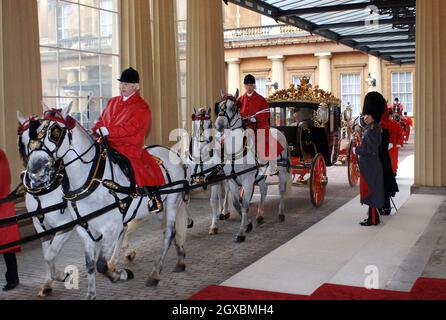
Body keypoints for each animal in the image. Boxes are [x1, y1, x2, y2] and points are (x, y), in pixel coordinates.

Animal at [24, 105, 188, 300]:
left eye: (55, 132)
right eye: (34, 132)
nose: (35, 168)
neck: (90, 180)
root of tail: (170, 152)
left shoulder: (109, 227)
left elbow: (101, 264)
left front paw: (121, 274)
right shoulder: (84, 228)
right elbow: (90, 264)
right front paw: (91, 293)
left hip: (172, 200)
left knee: (169, 233)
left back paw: (155, 274)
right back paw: (179, 257)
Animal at [216, 90, 292, 230]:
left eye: (233, 107)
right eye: (219, 106)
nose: (219, 124)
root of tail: (279, 131)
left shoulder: (247, 180)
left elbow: (244, 203)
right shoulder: (232, 180)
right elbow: (236, 203)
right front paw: (246, 222)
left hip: (282, 170)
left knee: (281, 189)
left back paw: (280, 213)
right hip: (261, 175)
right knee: (264, 190)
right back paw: (260, 215)